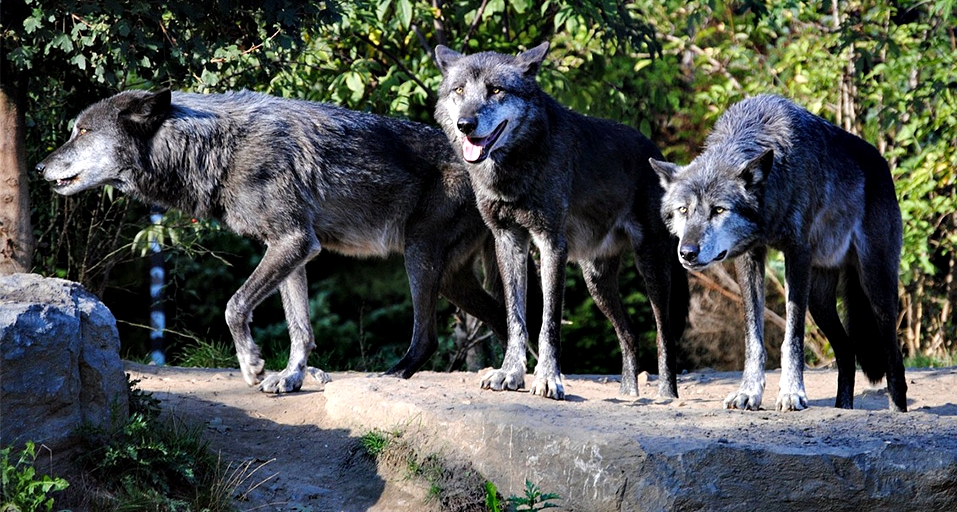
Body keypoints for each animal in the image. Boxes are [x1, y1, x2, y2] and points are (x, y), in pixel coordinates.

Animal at [36, 89, 510, 393]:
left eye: (82, 132)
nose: (39, 168)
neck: (216, 147)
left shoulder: (293, 241)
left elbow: (234, 306)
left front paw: (252, 365)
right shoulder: (294, 250)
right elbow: (300, 328)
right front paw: (291, 377)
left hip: (419, 257)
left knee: (428, 336)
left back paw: (397, 375)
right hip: (450, 278)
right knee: (503, 316)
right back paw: (511, 376)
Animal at [433, 42, 689, 400]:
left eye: (495, 90)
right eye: (458, 90)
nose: (465, 124)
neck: (516, 168)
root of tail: (657, 153)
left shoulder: (551, 243)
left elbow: (549, 322)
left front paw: (547, 379)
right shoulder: (509, 242)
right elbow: (516, 318)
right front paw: (510, 374)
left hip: (652, 268)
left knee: (662, 334)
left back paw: (666, 394)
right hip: (596, 281)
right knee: (629, 333)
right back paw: (628, 394)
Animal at [649, 94, 907, 412]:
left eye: (718, 210)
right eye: (684, 210)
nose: (687, 252)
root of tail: (882, 164)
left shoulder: (797, 254)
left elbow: (792, 337)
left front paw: (792, 393)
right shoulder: (749, 257)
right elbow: (753, 337)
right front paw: (748, 393)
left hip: (875, 286)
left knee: (894, 358)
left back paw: (897, 411)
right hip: (820, 301)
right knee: (847, 351)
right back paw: (842, 407)